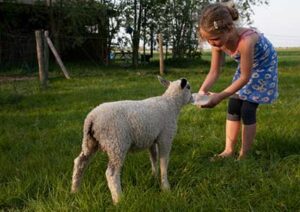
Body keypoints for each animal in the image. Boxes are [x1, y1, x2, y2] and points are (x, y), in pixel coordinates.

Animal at [71, 76, 192, 204]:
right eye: (189, 87)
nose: (192, 98)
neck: (171, 103)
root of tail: (91, 119)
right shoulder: (165, 137)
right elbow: (164, 162)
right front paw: (166, 188)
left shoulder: (151, 139)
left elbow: (154, 158)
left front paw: (154, 177)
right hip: (116, 142)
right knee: (111, 173)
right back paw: (118, 199)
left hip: (91, 142)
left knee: (80, 162)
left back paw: (75, 190)